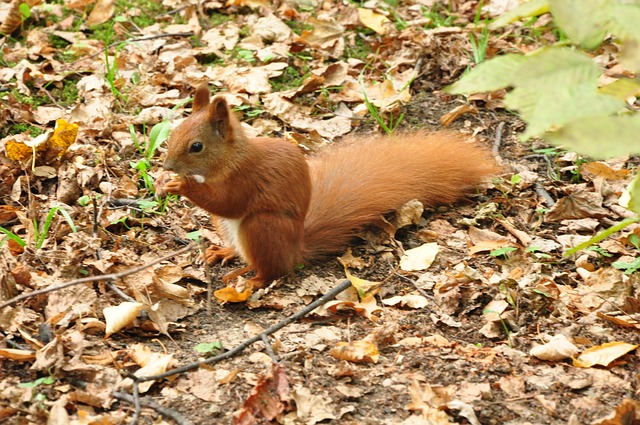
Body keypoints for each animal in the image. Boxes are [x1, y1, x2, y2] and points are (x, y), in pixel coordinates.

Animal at [159, 83, 500, 288]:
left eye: (197, 146)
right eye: (173, 133)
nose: (167, 166)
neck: (231, 158)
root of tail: (295, 249)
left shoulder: (248, 179)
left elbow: (229, 202)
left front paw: (181, 186)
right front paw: (166, 183)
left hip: (262, 226)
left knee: (273, 269)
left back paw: (251, 278)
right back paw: (226, 252)